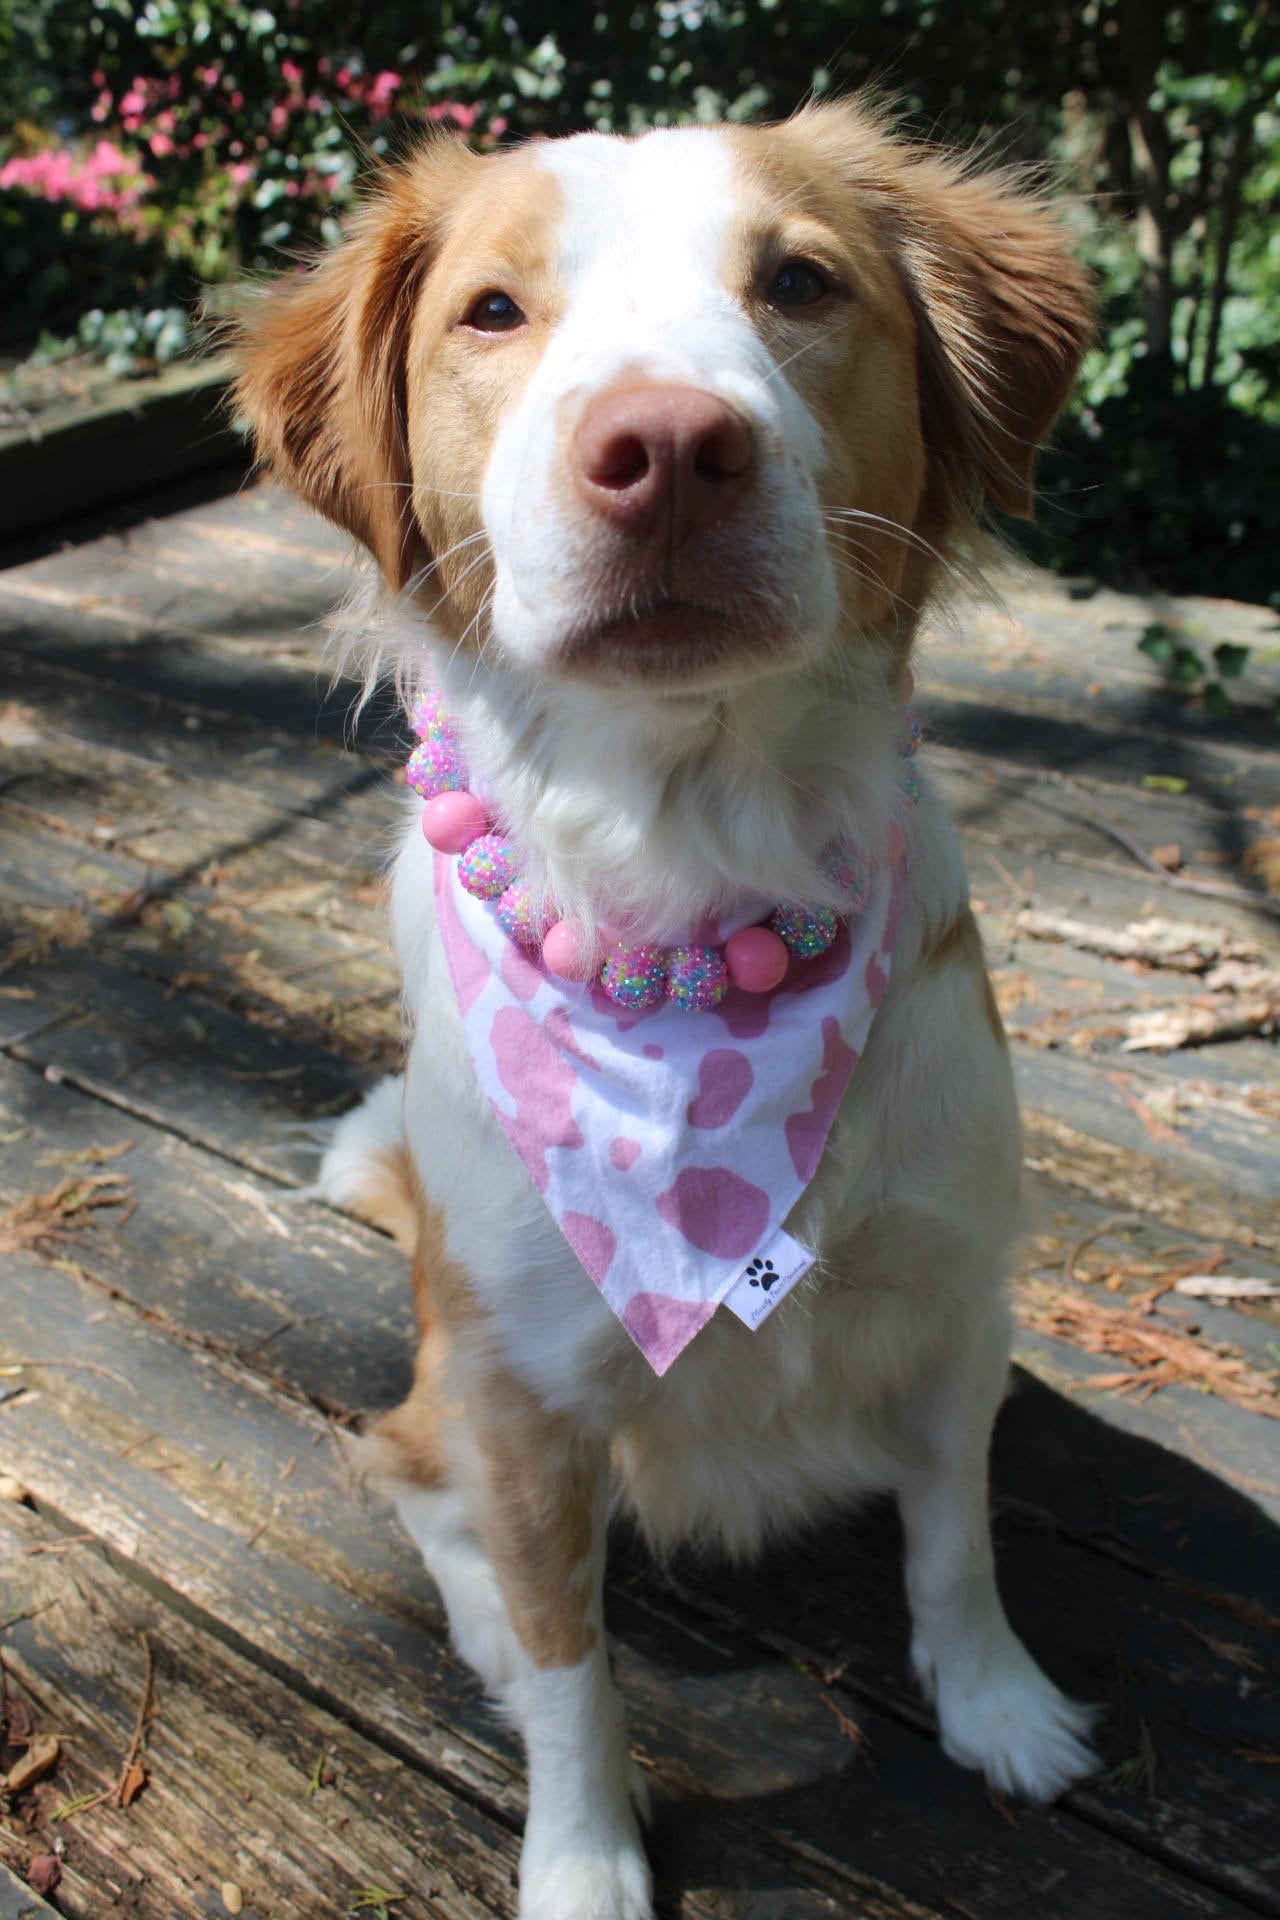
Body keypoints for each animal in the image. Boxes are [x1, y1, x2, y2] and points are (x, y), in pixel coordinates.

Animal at [235, 101, 1097, 1920]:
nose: (669, 446)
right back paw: (485, 1633)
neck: (693, 896)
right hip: (442, 1389)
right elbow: (578, 1673)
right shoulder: (521, 1400)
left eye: (800, 283)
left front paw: (999, 1708)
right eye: (493, 312)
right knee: (414, 1488)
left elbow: (958, 1535)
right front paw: (583, 1858)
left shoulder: (956, 1298)